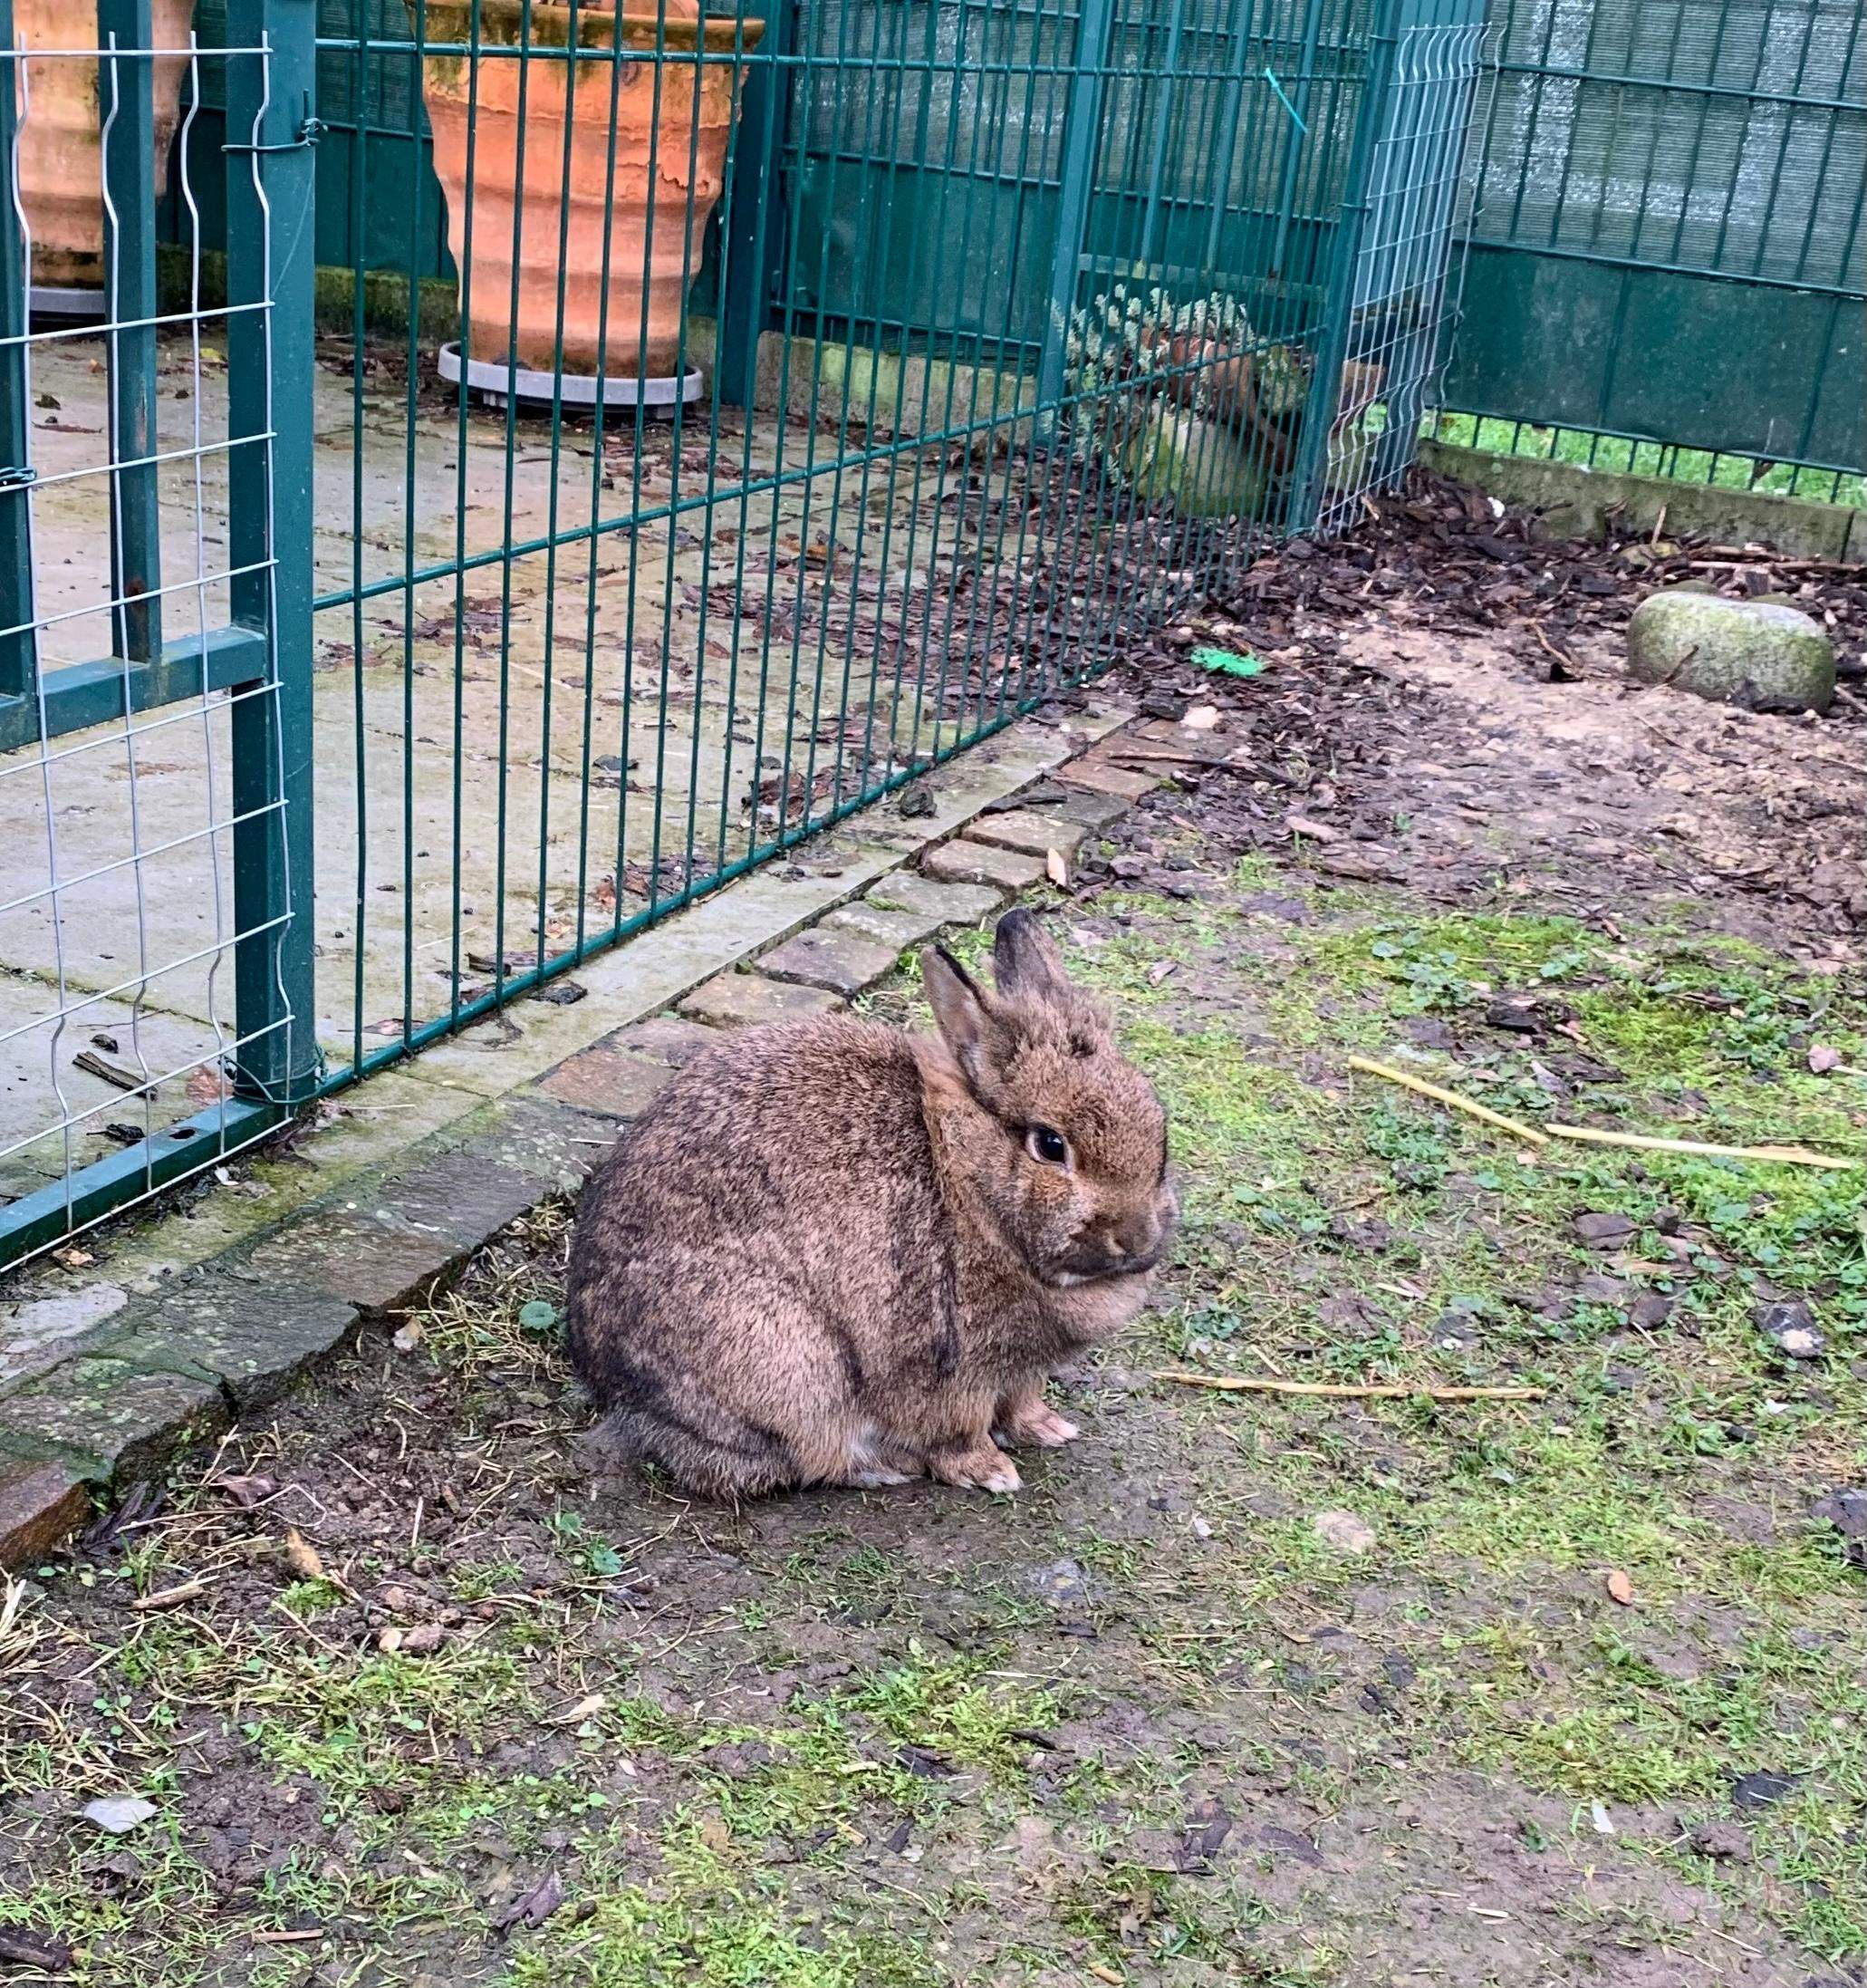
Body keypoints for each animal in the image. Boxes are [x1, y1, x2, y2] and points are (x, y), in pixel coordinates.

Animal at [565, 908, 1176, 1500]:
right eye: (1049, 1145)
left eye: (1160, 1128)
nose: (1137, 1239)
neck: (964, 1177)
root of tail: (620, 1396)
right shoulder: (947, 1364)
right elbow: (959, 1429)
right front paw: (991, 1471)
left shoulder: (1020, 1370)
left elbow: (1022, 1401)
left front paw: (1048, 1429)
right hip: (790, 1365)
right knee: (794, 1459)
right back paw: (884, 1467)